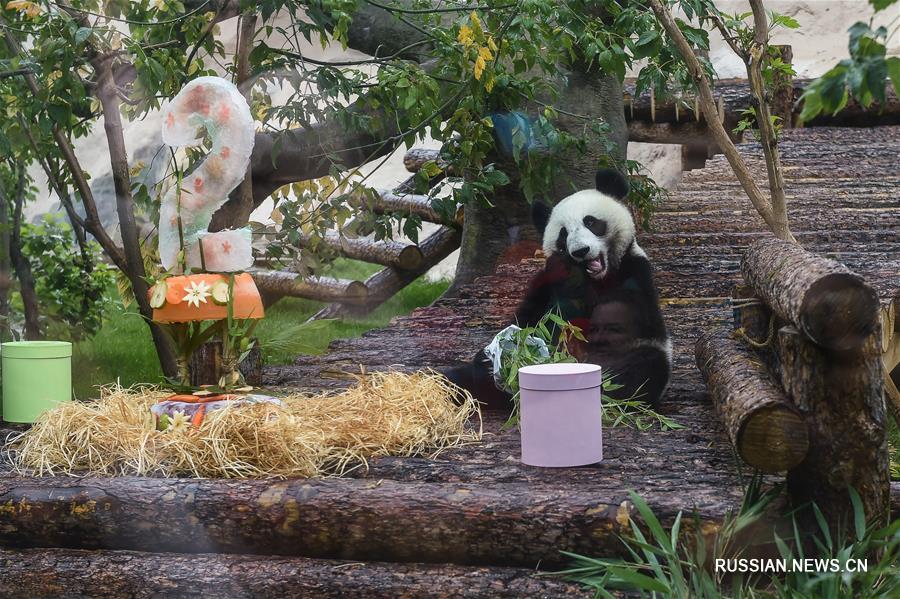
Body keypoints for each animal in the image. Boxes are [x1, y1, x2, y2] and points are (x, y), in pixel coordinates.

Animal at [446, 170, 672, 412]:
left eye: (590, 221)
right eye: (563, 234)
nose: (581, 251)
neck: (595, 278)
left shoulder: (634, 273)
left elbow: (620, 318)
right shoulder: (545, 283)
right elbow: (532, 318)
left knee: (642, 367)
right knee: (459, 377)